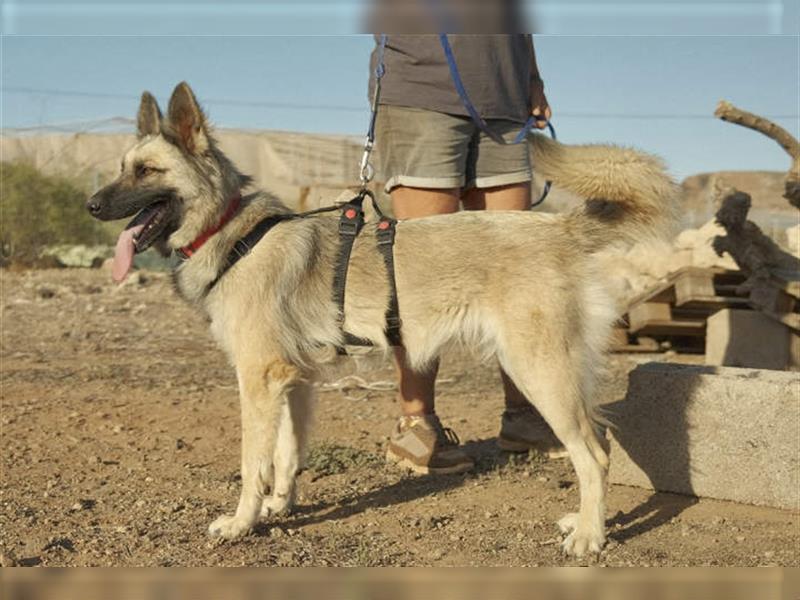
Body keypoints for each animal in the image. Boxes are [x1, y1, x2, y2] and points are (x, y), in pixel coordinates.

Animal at [86, 81, 676, 556]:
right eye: (120, 168)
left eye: (147, 171)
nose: (90, 205)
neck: (233, 232)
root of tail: (561, 229)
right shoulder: (296, 381)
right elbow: (288, 453)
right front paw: (280, 506)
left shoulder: (257, 381)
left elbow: (254, 461)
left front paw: (242, 522)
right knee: (596, 446)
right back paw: (583, 520)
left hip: (539, 372)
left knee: (594, 455)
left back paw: (591, 537)